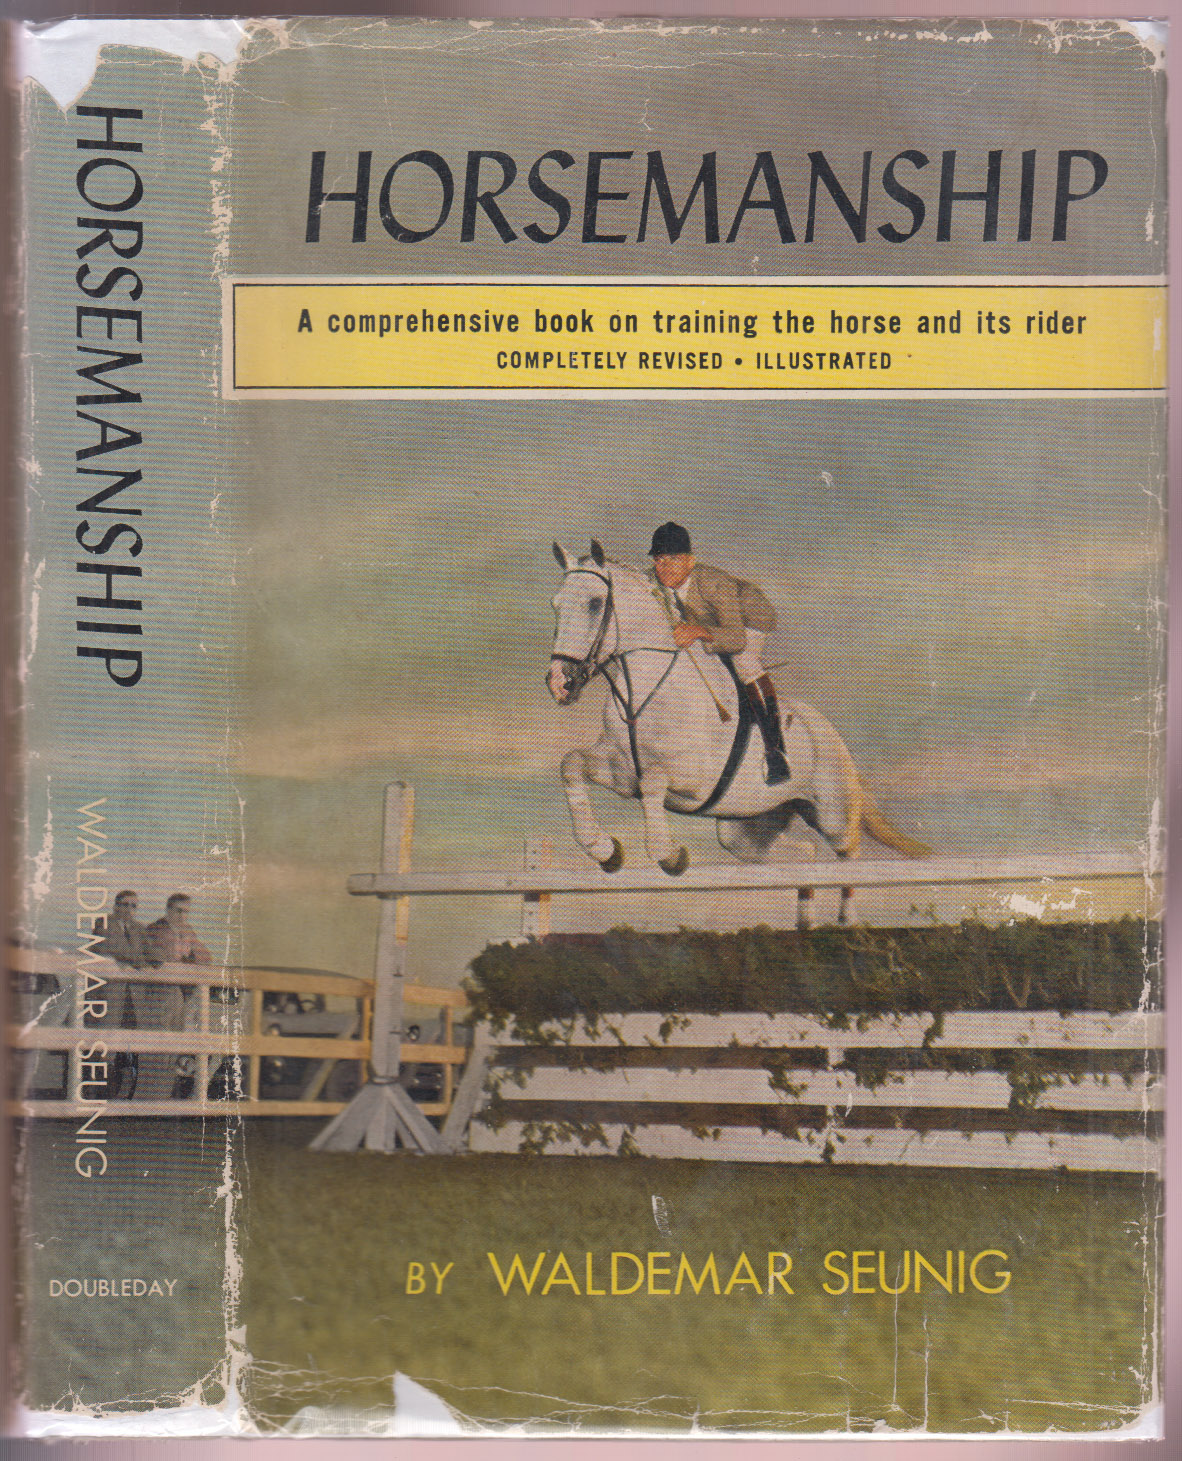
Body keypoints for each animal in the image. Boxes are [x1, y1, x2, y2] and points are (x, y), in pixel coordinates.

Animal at [546, 541, 930, 925]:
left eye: (595, 603)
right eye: (557, 604)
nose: (559, 683)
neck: (645, 689)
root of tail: (828, 730)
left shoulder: (693, 778)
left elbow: (653, 780)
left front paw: (670, 856)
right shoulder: (621, 772)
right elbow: (571, 764)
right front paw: (605, 849)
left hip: (833, 813)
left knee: (849, 857)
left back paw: (846, 922)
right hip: (744, 829)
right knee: (803, 855)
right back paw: (805, 919)